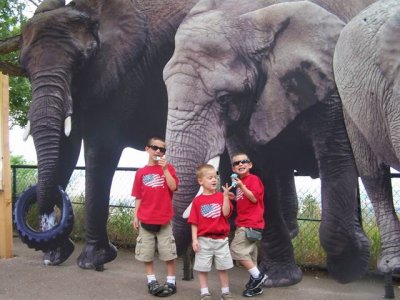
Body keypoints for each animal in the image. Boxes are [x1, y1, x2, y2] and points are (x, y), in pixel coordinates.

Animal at [13, 0, 197, 270]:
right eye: (25, 68)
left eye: (80, 62)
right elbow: (65, 148)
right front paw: (54, 257)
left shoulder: (124, 74)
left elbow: (100, 147)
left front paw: (92, 261)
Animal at [162, 0, 376, 288]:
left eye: (224, 99)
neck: (252, 14)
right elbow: (258, 170)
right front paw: (278, 279)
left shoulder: (328, 84)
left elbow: (336, 158)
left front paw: (350, 266)